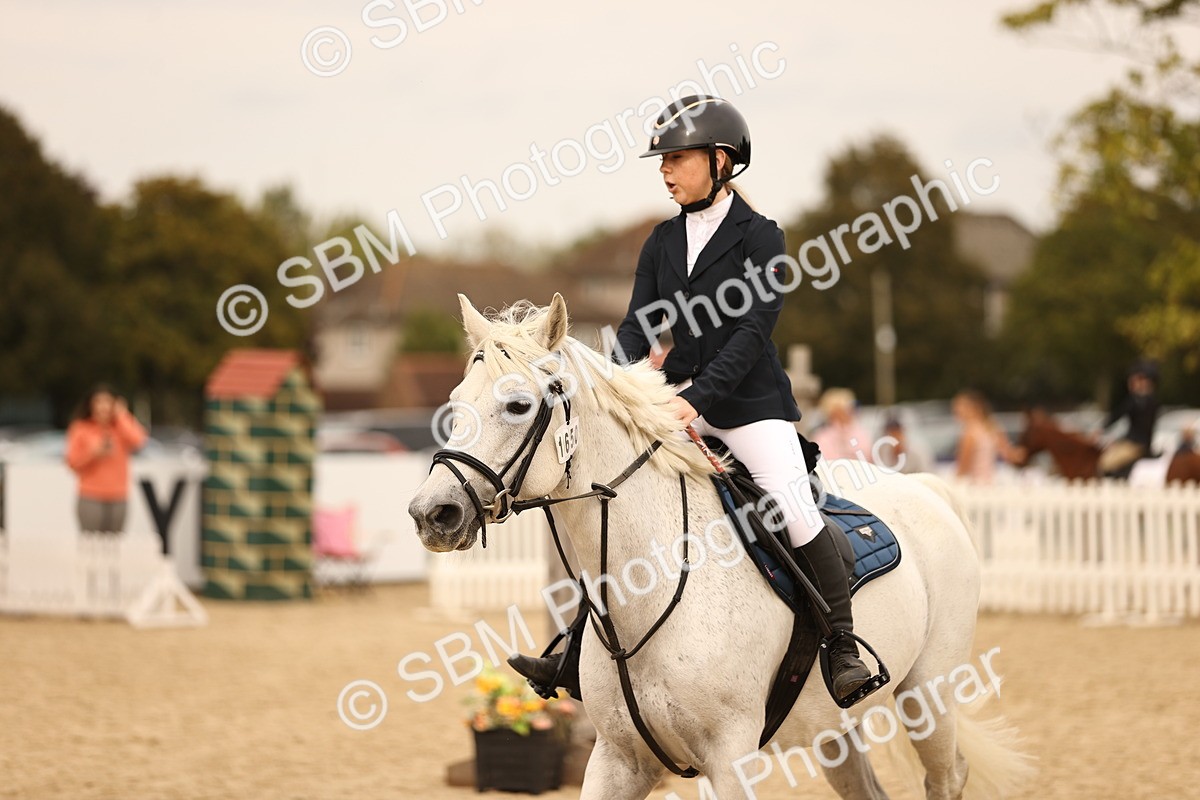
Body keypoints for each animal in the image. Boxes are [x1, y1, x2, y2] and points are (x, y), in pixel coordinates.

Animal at [409, 294, 1034, 799]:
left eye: (517, 405)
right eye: (456, 401)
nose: (431, 514)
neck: (646, 587)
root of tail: (927, 488)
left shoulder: (729, 759)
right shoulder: (617, 760)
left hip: (929, 696)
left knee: (946, 775)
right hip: (835, 728)